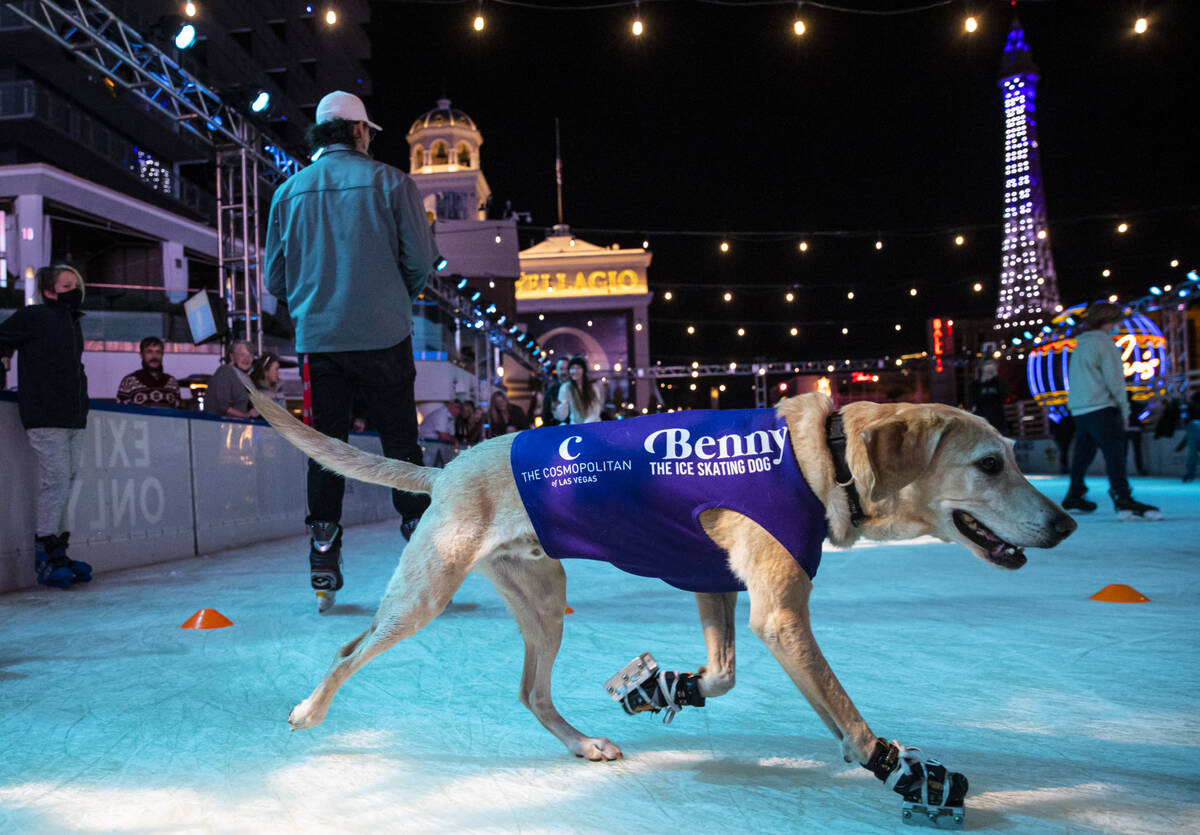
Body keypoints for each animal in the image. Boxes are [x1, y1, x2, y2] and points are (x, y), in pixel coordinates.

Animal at [248, 393, 1075, 820]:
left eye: (1013, 454)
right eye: (989, 464)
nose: (1066, 523)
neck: (828, 458)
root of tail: (448, 466)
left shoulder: (717, 584)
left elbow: (722, 673)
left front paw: (663, 685)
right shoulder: (780, 614)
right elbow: (849, 719)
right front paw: (902, 770)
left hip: (543, 600)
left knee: (531, 690)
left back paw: (584, 744)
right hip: (423, 595)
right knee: (349, 650)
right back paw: (308, 710)